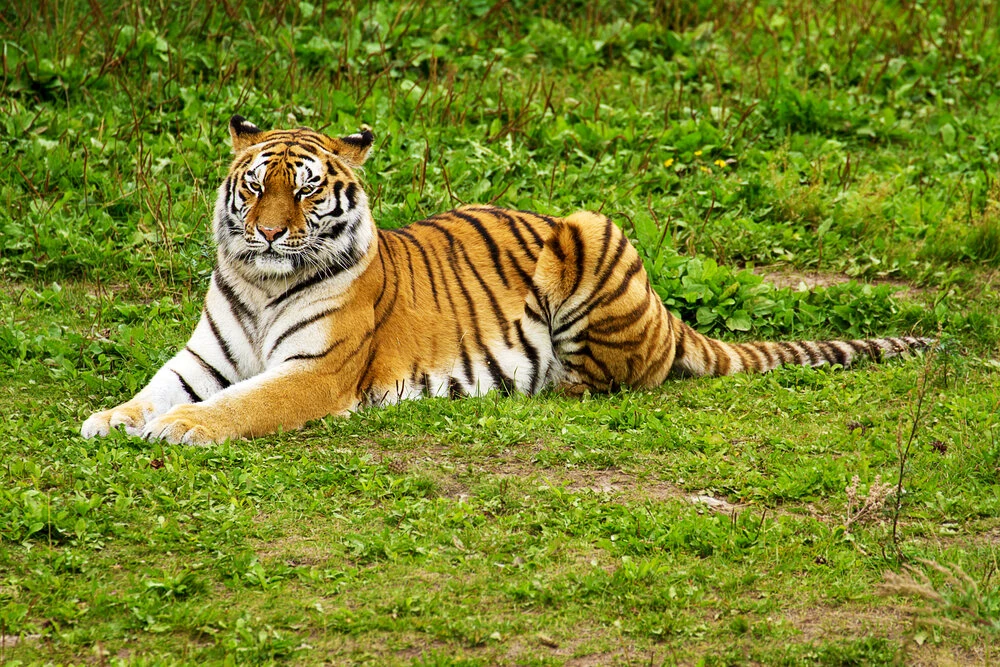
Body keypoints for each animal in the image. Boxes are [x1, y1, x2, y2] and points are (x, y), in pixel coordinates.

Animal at [81, 116, 933, 445]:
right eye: (255, 187)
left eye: (309, 192)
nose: (264, 233)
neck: (259, 286)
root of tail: (668, 314)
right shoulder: (202, 358)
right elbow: (152, 389)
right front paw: (108, 417)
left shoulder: (314, 372)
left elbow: (238, 405)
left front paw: (181, 428)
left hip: (591, 229)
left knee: (609, 380)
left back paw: (537, 384)